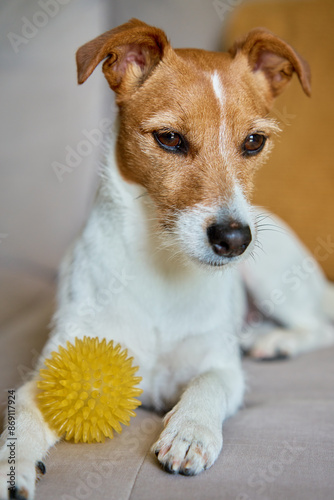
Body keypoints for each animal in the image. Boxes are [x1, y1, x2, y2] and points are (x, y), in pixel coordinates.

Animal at [0, 18, 334, 500]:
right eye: (170, 139)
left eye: (254, 142)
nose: (235, 239)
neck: (162, 266)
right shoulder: (57, 366)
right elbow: (22, 414)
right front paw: (14, 466)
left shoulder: (220, 365)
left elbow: (208, 384)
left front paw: (190, 431)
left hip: (271, 274)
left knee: (319, 326)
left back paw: (277, 342)